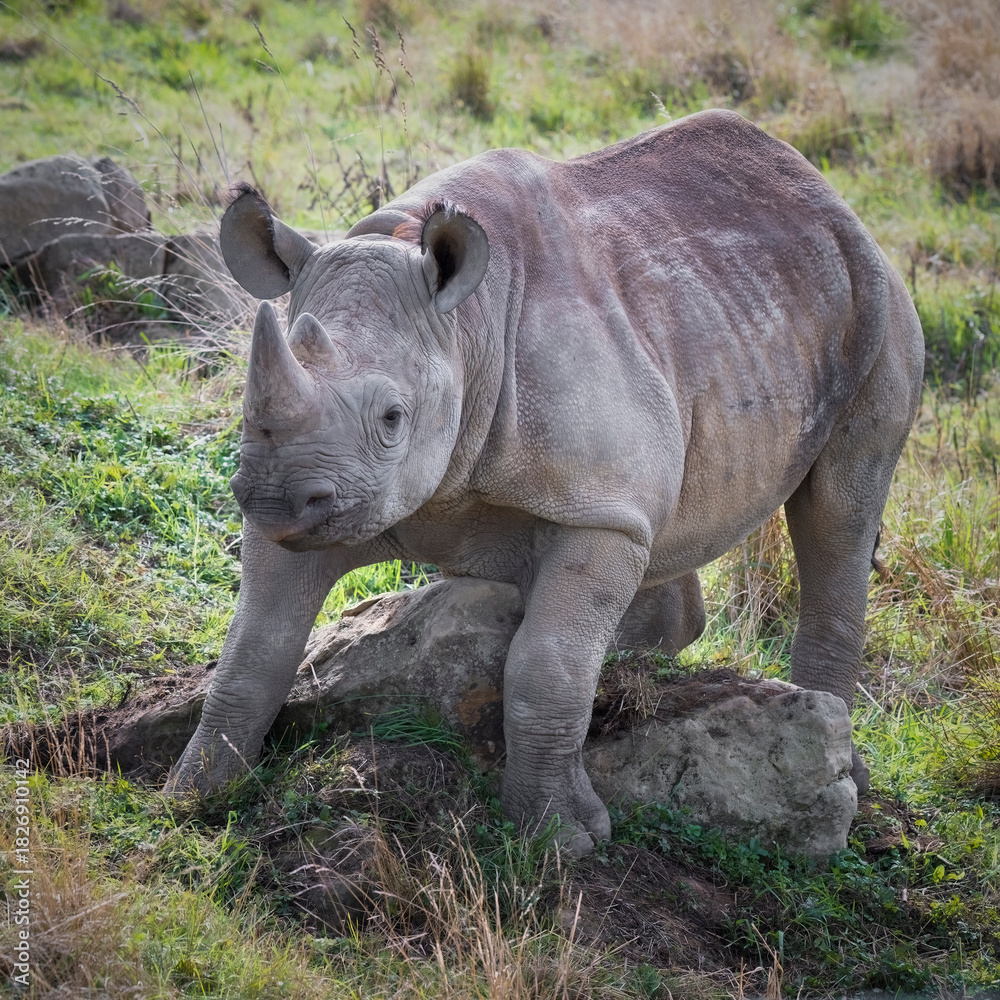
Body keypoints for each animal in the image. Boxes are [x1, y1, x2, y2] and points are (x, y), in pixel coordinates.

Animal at [165, 109, 924, 856]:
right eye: (248, 407)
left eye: (392, 418)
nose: (275, 498)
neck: (462, 328)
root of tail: (830, 197)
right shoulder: (320, 498)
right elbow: (255, 646)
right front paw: (193, 796)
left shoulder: (595, 512)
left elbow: (547, 664)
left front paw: (560, 837)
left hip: (878, 305)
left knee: (839, 514)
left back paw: (842, 765)